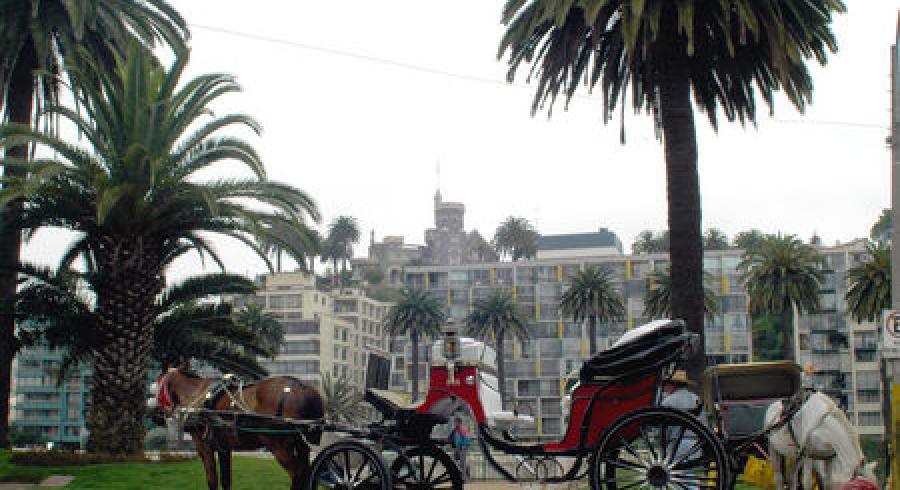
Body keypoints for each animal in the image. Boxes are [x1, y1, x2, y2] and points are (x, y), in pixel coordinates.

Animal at [150, 368, 324, 490]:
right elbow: (226, 480)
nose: (155, 415)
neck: (197, 393)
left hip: (279, 446)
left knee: (296, 474)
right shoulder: (224, 448)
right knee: (306, 470)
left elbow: (212, 480)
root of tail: (302, 388)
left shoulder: (204, 447)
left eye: (154, 390)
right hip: (300, 443)